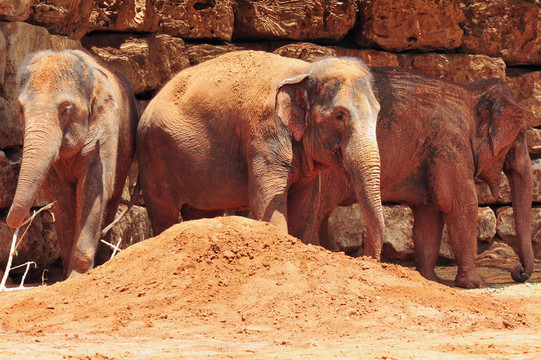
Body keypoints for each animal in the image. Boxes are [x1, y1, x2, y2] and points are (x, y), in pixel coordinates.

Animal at [6, 48, 138, 278]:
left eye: (65, 110)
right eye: (21, 110)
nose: (26, 216)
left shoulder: (106, 129)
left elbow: (94, 188)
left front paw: (77, 275)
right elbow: (60, 196)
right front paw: (66, 276)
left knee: (112, 197)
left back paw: (103, 261)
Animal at [137, 50, 386, 258]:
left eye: (378, 112)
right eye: (339, 116)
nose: (366, 258)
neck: (305, 70)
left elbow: (305, 208)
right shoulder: (264, 133)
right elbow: (267, 202)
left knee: (201, 211)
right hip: (154, 158)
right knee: (164, 215)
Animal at [286, 66, 532, 288]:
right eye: (519, 138)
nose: (518, 271)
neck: (471, 92)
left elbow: (429, 215)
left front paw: (432, 280)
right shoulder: (450, 145)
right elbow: (461, 204)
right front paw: (476, 284)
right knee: (318, 211)